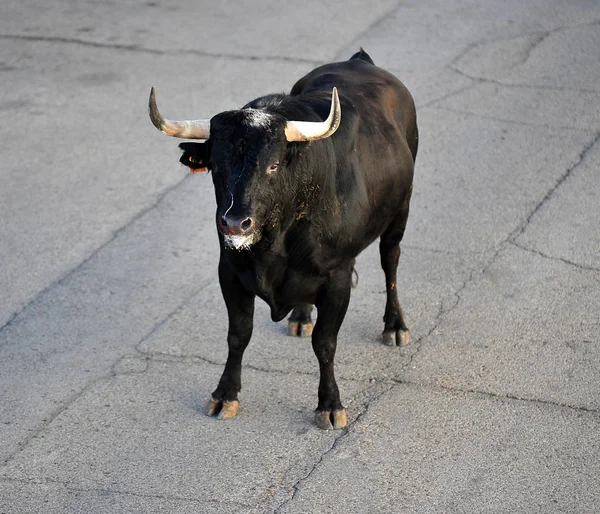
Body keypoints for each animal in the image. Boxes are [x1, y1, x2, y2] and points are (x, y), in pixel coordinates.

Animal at [149, 49, 418, 428]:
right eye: (216, 165)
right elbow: (238, 334)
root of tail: (360, 61)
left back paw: (394, 325)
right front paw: (225, 394)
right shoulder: (230, 270)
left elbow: (325, 343)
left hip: (401, 209)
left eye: (273, 165)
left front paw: (330, 405)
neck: (275, 242)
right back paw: (300, 317)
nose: (235, 223)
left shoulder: (337, 277)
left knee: (390, 259)